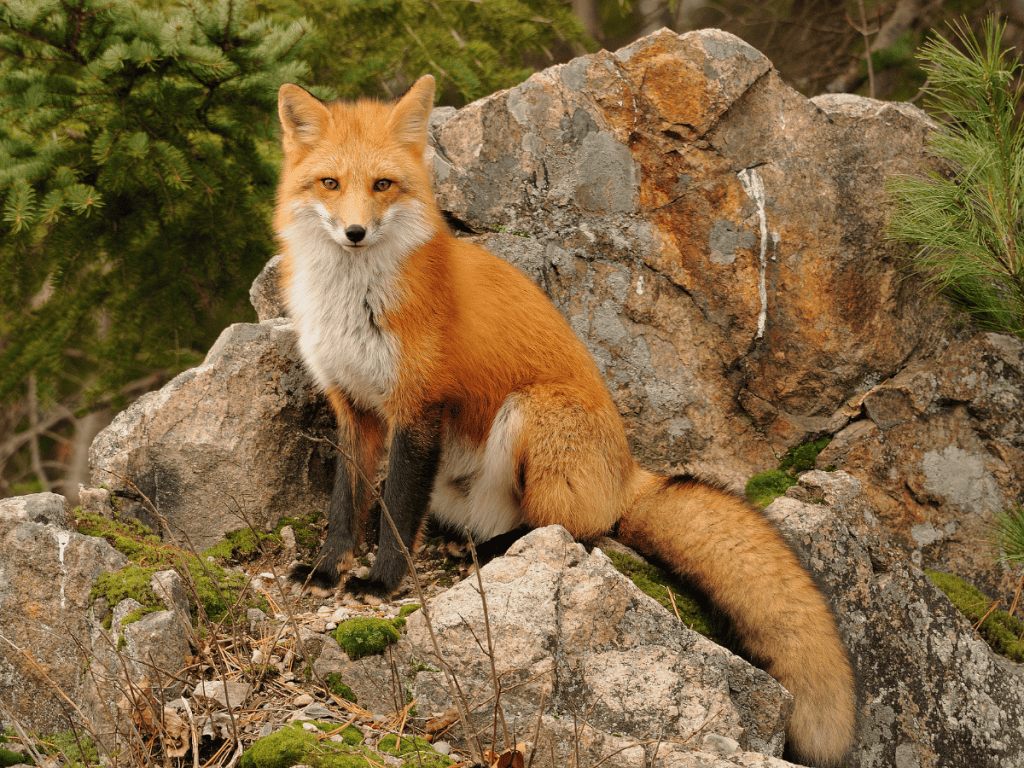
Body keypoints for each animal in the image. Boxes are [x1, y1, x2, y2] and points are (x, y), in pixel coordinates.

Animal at [273, 75, 857, 766]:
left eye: (383, 184)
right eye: (331, 183)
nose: (356, 232)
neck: (353, 301)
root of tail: (629, 470)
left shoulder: (418, 409)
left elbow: (395, 511)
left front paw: (382, 583)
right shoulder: (354, 408)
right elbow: (346, 503)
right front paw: (327, 569)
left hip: (533, 412)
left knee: (570, 530)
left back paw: (494, 552)